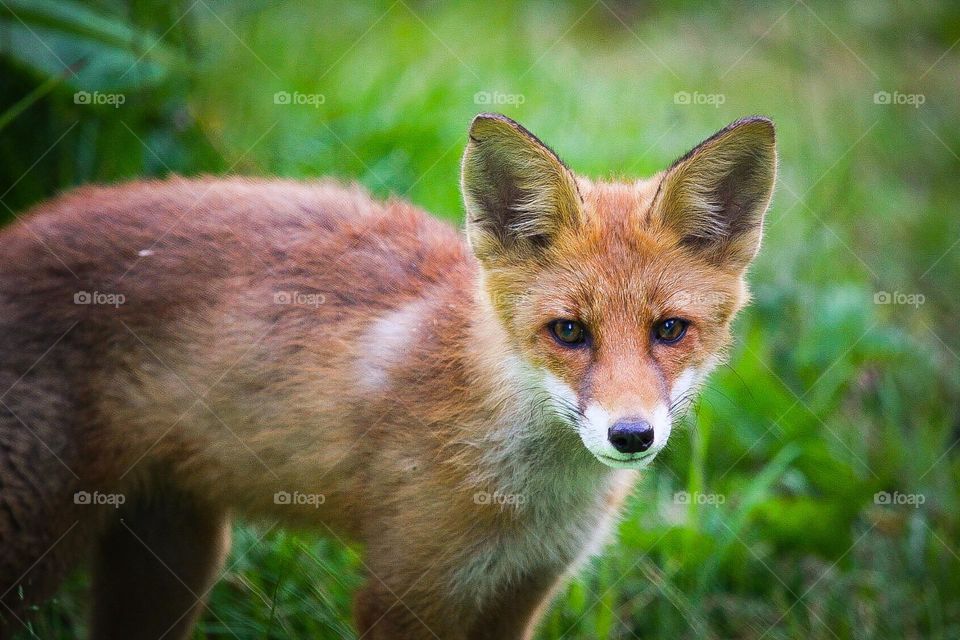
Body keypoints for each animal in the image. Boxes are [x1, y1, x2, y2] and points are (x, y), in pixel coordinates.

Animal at [0, 113, 775, 639]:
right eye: (568, 332)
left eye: (669, 330)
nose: (631, 435)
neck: (529, 499)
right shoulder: (407, 591)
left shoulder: (520, 593)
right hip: (37, 543)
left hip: (173, 555)